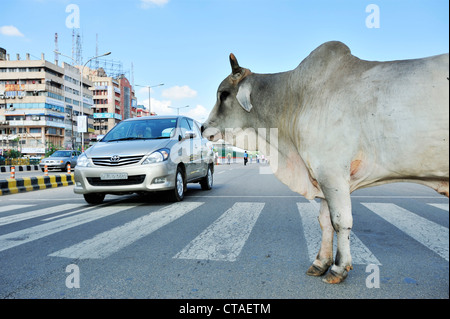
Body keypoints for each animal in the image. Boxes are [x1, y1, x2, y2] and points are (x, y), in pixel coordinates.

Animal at [203, 41, 446, 284]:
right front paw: (320, 263)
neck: (295, 99)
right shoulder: (321, 177)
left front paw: (338, 268)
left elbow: (340, 221)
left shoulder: (332, 173)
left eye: (224, 94)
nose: (203, 127)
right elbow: (324, 221)